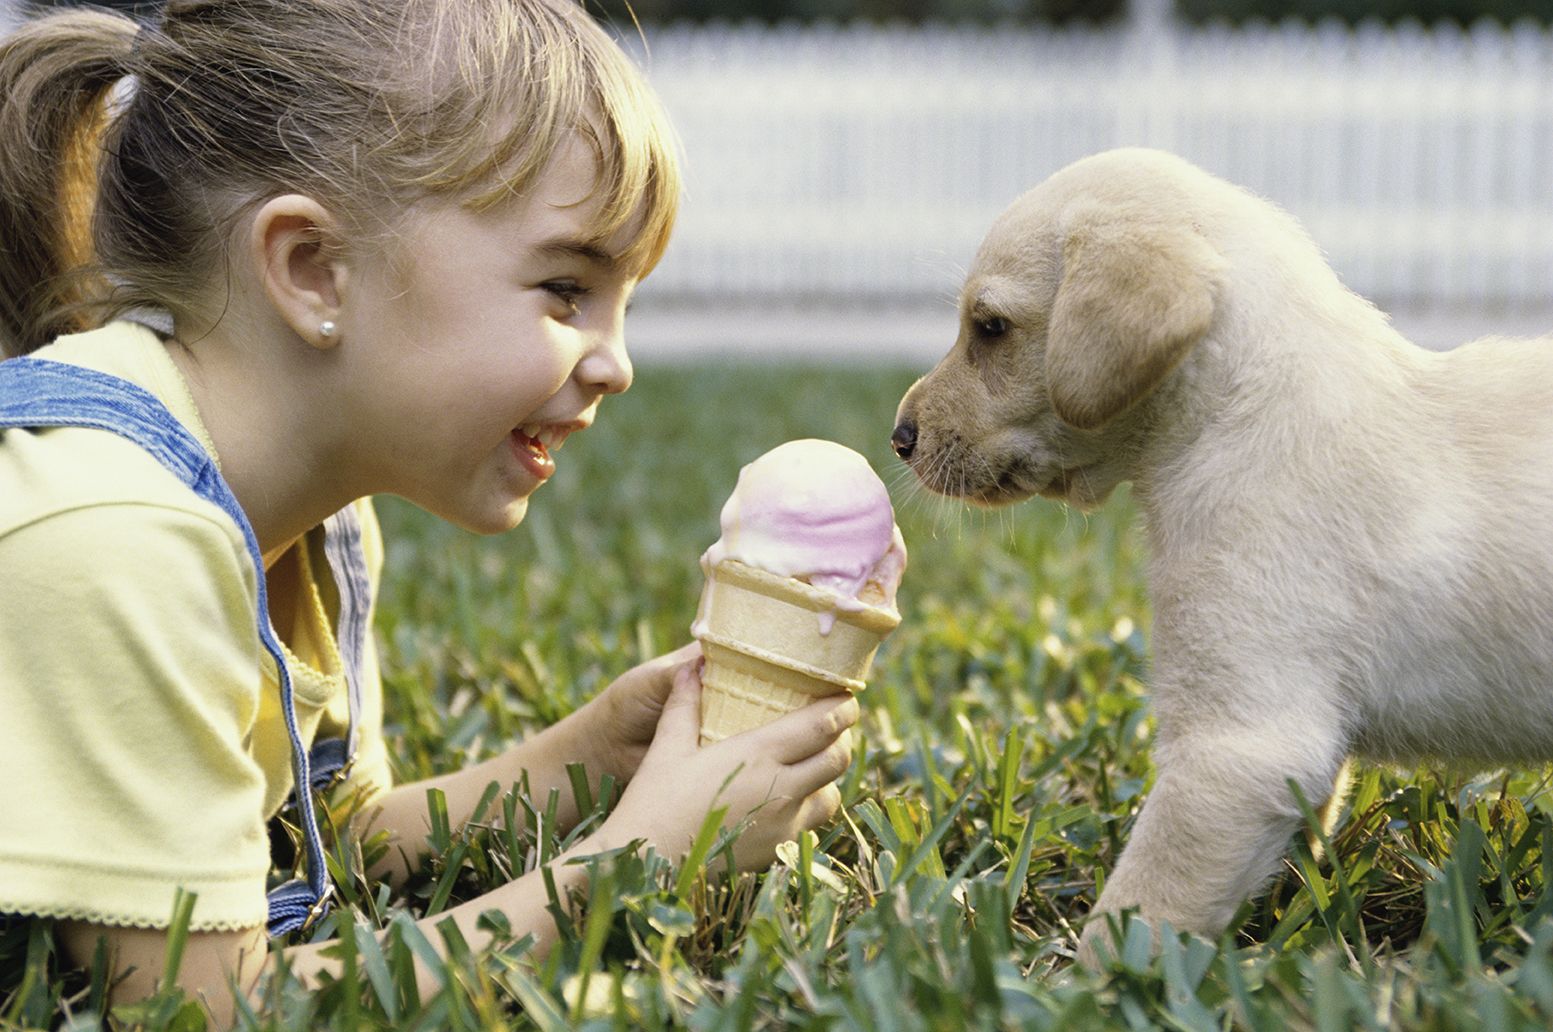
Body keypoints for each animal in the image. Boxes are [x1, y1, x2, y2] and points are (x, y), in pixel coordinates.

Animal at [894, 148, 1553, 962]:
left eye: (989, 328)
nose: (899, 436)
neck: (1236, 415)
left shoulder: (1236, 748)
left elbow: (1142, 907)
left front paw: (1081, 977)